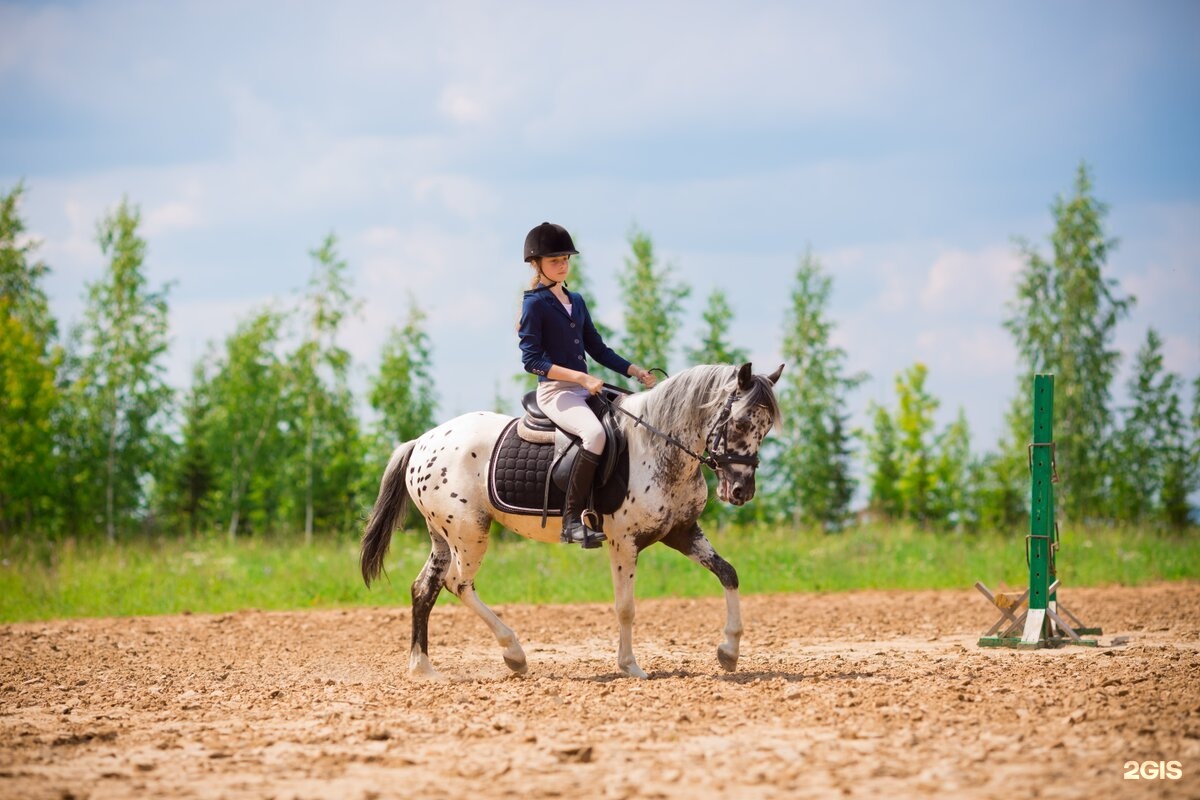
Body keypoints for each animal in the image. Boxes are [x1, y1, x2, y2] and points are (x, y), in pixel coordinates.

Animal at [360, 364, 782, 681]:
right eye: (740, 423)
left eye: (765, 428)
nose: (741, 491)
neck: (658, 444)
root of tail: (421, 442)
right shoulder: (624, 542)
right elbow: (625, 606)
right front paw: (630, 667)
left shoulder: (681, 533)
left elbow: (728, 573)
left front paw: (729, 651)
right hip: (469, 533)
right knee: (458, 584)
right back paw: (514, 654)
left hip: (443, 537)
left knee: (424, 588)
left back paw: (423, 669)